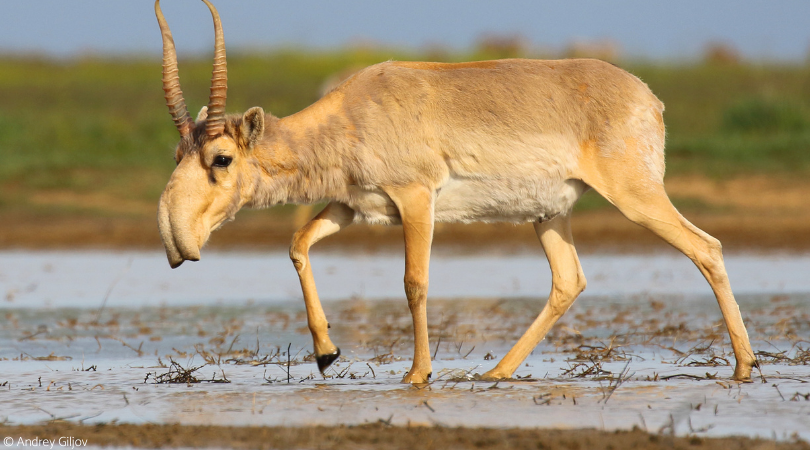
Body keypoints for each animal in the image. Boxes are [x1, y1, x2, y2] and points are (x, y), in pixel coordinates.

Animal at [155, 0, 757, 384]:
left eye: (221, 158)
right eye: (178, 153)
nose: (175, 240)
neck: (352, 112)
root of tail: (647, 97)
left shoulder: (416, 200)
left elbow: (414, 282)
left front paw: (417, 374)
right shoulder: (352, 206)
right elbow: (298, 244)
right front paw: (326, 354)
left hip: (636, 197)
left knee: (706, 248)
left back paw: (745, 366)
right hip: (549, 215)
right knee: (569, 280)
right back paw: (496, 372)